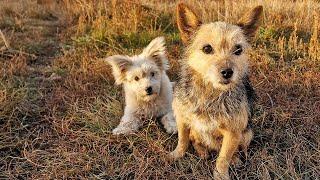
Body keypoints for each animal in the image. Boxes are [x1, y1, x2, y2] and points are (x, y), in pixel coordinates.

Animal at [170, 2, 262, 180]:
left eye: (238, 50)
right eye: (207, 49)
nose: (227, 72)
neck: (210, 93)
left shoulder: (233, 133)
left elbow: (223, 158)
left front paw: (221, 175)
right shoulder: (182, 119)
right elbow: (182, 140)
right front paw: (176, 154)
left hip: (247, 133)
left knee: (236, 150)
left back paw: (235, 159)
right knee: (195, 140)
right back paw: (203, 151)